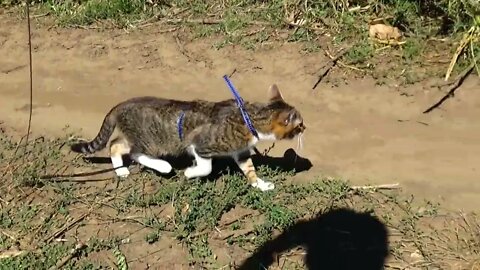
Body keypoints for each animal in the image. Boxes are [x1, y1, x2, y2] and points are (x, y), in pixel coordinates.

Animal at [69, 84, 306, 192]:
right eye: (300, 124)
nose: (306, 127)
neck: (249, 118)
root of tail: (122, 104)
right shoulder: (199, 145)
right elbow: (206, 168)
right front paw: (190, 172)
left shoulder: (240, 152)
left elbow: (250, 170)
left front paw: (260, 185)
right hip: (151, 142)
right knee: (135, 153)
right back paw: (163, 166)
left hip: (135, 137)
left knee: (115, 145)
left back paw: (121, 170)